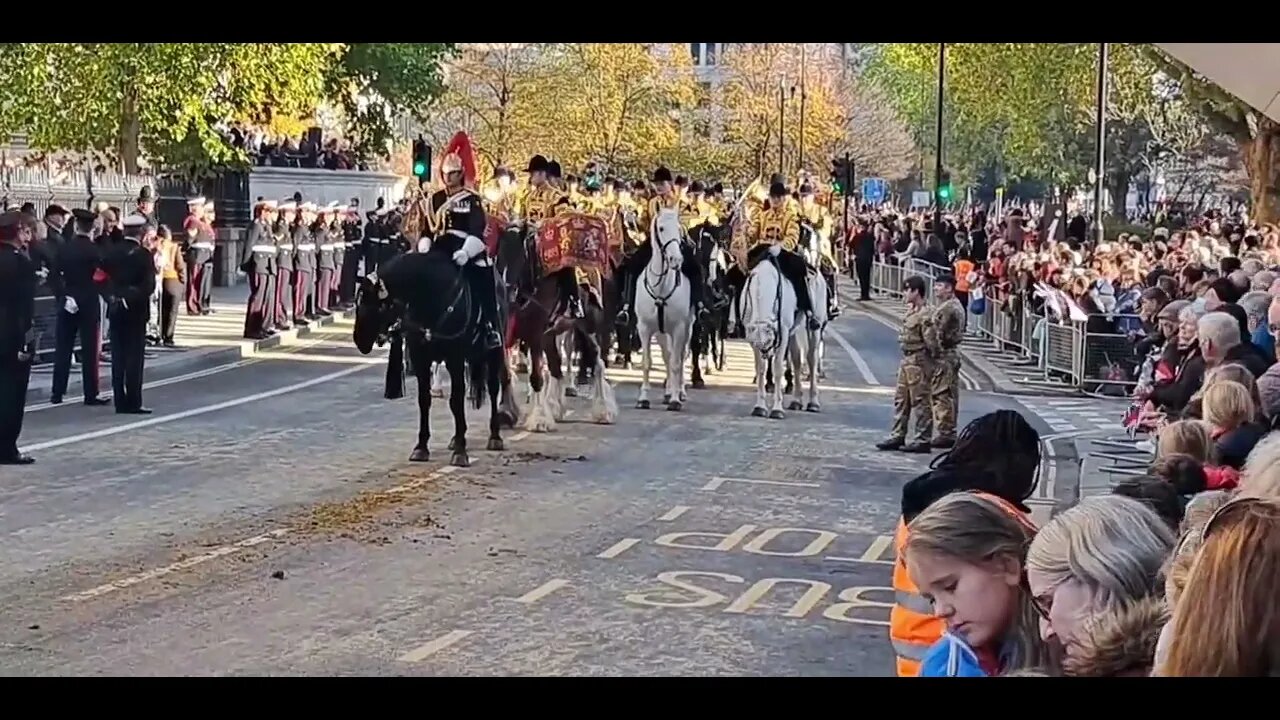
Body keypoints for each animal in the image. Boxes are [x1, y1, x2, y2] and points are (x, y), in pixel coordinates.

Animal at [355, 251, 509, 466]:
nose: (359, 340)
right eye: (358, 301)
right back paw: (455, 438)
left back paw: (494, 436)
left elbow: (456, 401)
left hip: (494, 352)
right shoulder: (421, 358)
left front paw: (461, 451)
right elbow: (424, 400)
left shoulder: (455, 359)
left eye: (377, 306)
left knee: (494, 388)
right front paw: (421, 447)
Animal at [637, 207, 696, 409]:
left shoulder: (678, 328)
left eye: (679, 230)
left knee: (679, 356)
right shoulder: (645, 328)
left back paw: (680, 392)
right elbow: (647, 362)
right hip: (661, 332)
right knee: (667, 355)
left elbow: (676, 363)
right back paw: (669, 391)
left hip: (687, 328)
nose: (676, 259)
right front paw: (643, 398)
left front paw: (676, 400)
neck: (661, 287)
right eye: (661, 228)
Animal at [742, 244, 788, 417]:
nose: (766, 353)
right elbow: (760, 368)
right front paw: (760, 406)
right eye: (757, 343)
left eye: (770, 339)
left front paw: (777, 408)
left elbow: (778, 368)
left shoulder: (784, 333)